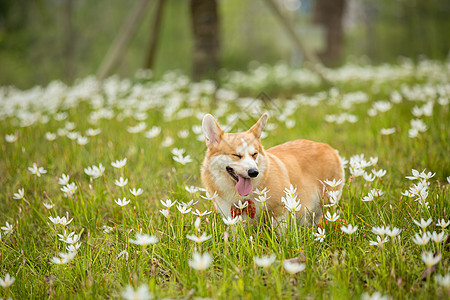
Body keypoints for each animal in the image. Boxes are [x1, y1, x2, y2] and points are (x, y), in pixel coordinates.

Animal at [200, 113, 344, 224]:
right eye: (236, 155)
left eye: (254, 154)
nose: (254, 172)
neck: (242, 198)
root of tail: (329, 148)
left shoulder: (279, 209)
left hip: (327, 202)